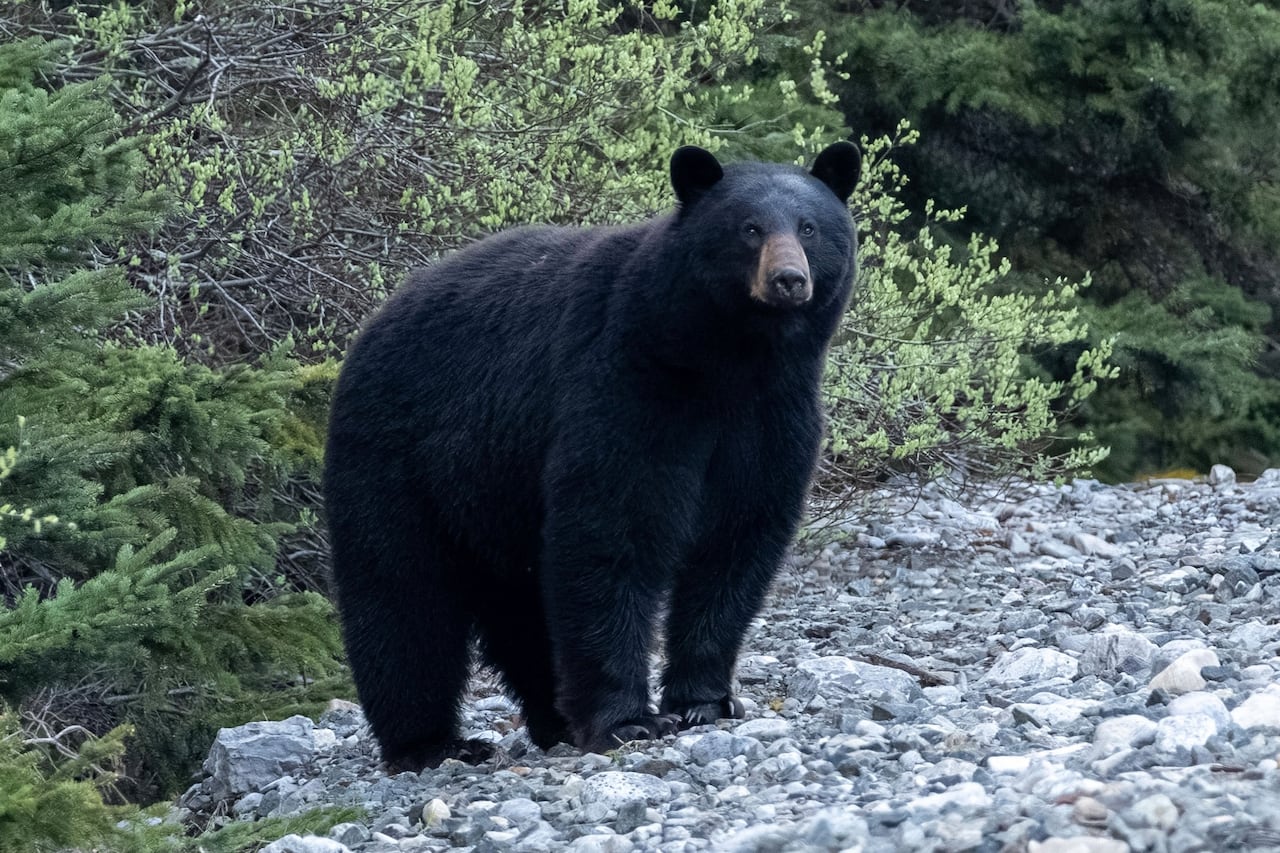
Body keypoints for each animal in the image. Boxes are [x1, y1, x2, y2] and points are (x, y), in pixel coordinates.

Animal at [323, 141, 861, 771]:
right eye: (749, 229)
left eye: (809, 227)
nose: (788, 279)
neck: (728, 362)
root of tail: (373, 322)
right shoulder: (627, 388)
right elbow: (612, 533)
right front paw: (627, 720)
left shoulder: (772, 419)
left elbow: (738, 543)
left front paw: (704, 700)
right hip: (397, 457)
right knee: (402, 596)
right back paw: (431, 742)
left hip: (491, 499)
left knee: (518, 611)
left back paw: (551, 717)